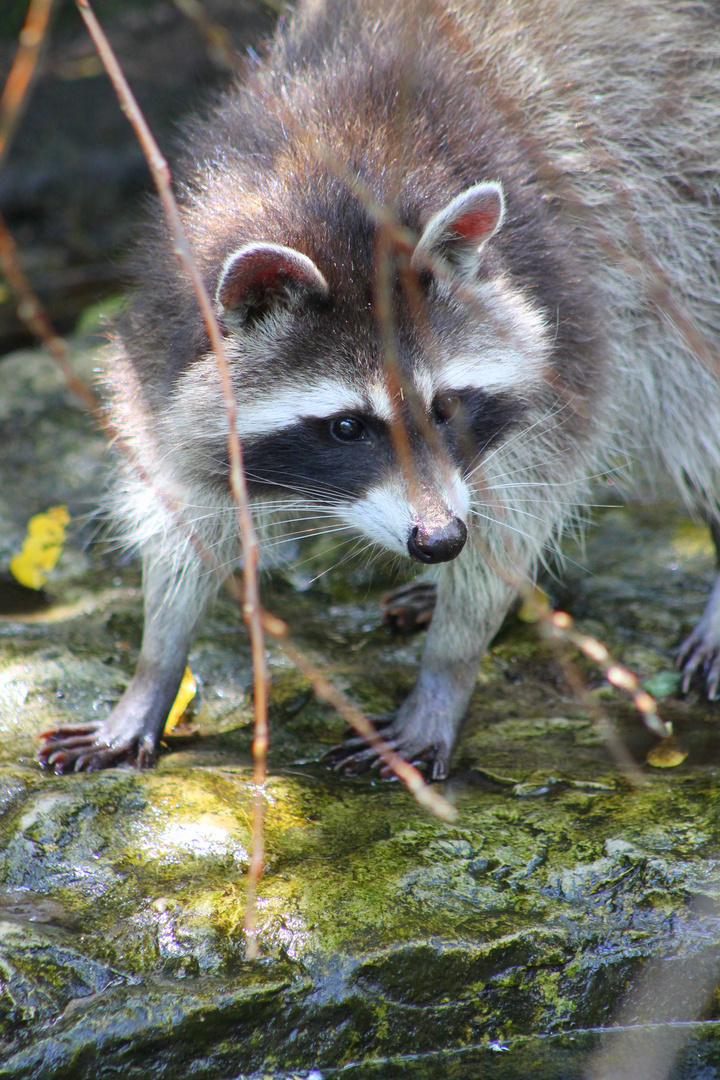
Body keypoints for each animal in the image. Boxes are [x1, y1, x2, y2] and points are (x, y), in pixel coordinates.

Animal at [38, 0, 720, 777]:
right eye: (347, 427)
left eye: (444, 407)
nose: (441, 539)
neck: (331, 192)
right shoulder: (163, 351)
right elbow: (184, 508)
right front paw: (156, 663)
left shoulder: (568, 314)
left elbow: (520, 510)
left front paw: (450, 664)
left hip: (686, 219)